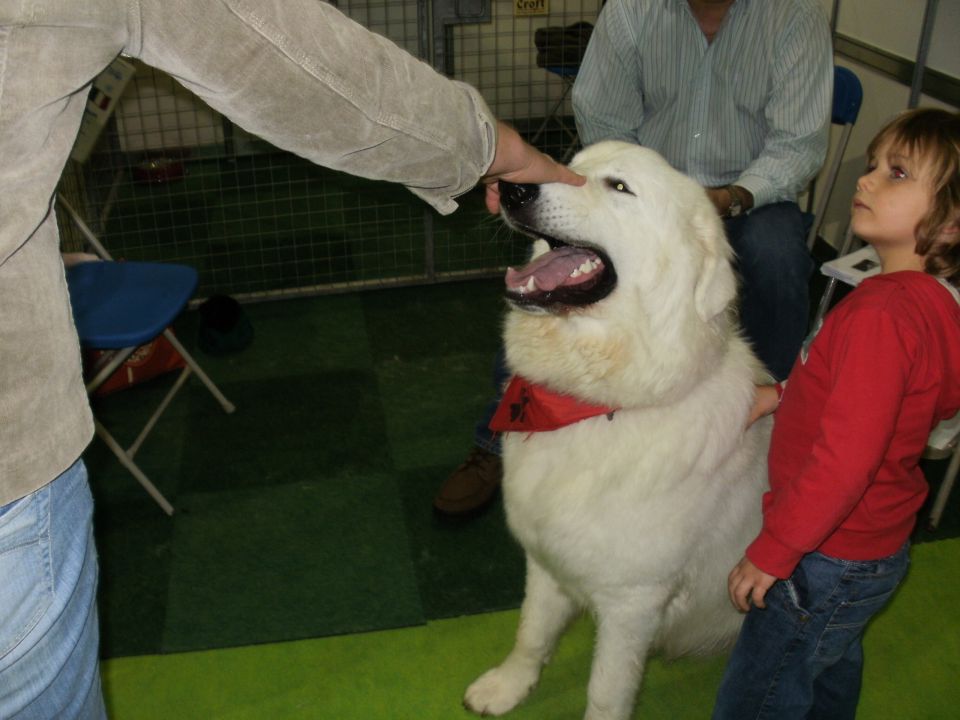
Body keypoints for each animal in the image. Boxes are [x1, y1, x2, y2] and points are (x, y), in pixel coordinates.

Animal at [464, 142, 772, 720]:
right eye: (569, 165)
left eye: (619, 187)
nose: (513, 188)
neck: (594, 404)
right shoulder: (546, 561)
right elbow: (531, 634)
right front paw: (508, 686)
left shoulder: (632, 605)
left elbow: (606, 693)